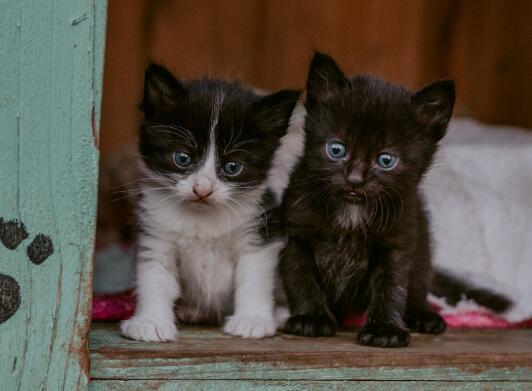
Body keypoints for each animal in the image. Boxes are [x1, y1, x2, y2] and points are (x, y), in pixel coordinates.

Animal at [120, 64, 300, 344]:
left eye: (232, 167)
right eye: (182, 158)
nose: (202, 190)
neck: (202, 217)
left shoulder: (261, 228)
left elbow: (254, 277)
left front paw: (252, 320)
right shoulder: (156, 234)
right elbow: (154, 276)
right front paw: (150, 321)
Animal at [280, 52, 456, 350]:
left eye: (386, 160)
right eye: (336, 149)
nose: (354, 179)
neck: (352, 211)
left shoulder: (398, 241)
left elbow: (391, 285)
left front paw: (385, 329)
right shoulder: (296, 234)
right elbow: (300, 276)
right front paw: (310, 317)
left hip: (423, 248)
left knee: (418, 283)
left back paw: (422, 316)